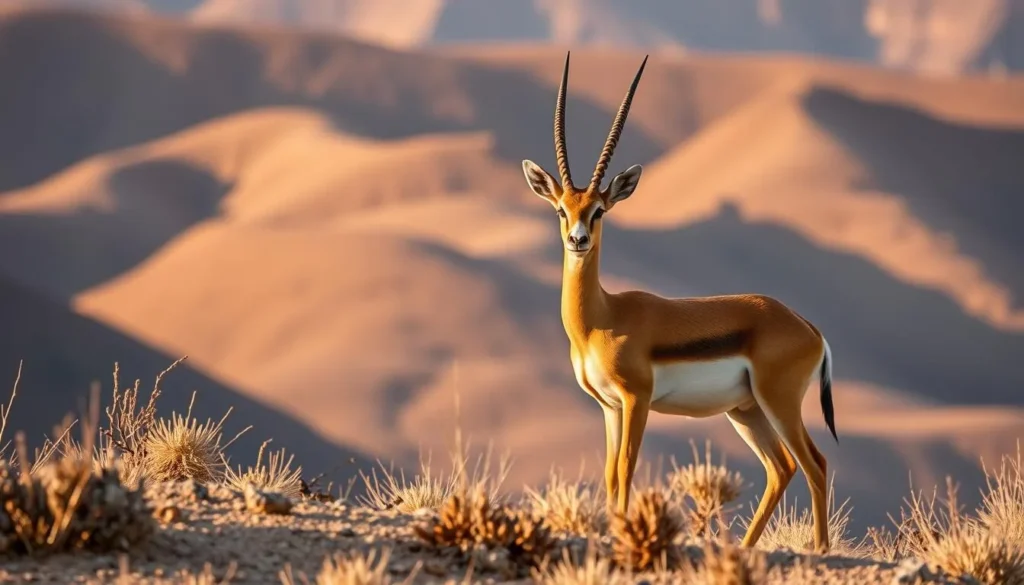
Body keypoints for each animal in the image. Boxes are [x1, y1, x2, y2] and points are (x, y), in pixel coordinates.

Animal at [520, 52, 838, 552]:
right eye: (561, 210)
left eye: (599, 210)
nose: (578, 240)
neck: (601, 319)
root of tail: (807, 326)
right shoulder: (609, 407)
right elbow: (609, 475)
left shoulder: (637, 400)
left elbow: (626, 469)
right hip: (745, 410)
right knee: (781, 468)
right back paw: (745, 548)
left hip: (778, 403)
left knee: (815, 464)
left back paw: (819, 550)